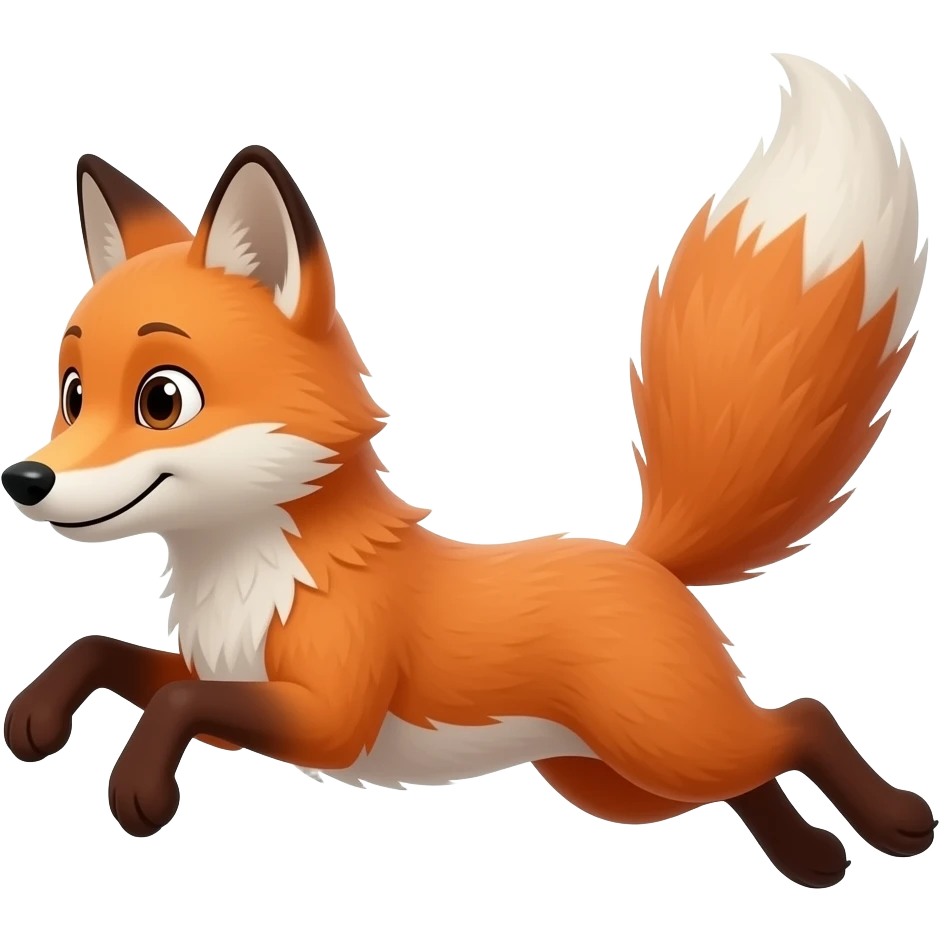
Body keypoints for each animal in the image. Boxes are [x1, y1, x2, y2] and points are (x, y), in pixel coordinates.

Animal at [1, 52, 935, 885]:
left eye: (162, 400)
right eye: (73, 395)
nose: (24, 480)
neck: (251, 578)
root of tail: (648, 560)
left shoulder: (329, 718)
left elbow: (175, 702)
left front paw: (139, 788)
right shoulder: (229, 681)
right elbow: (104, 653)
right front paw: (35, 718)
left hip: (666, 744)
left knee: (802, 720)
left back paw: (896, 820)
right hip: (624, 782)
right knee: (753, 773)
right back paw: (811, 857)